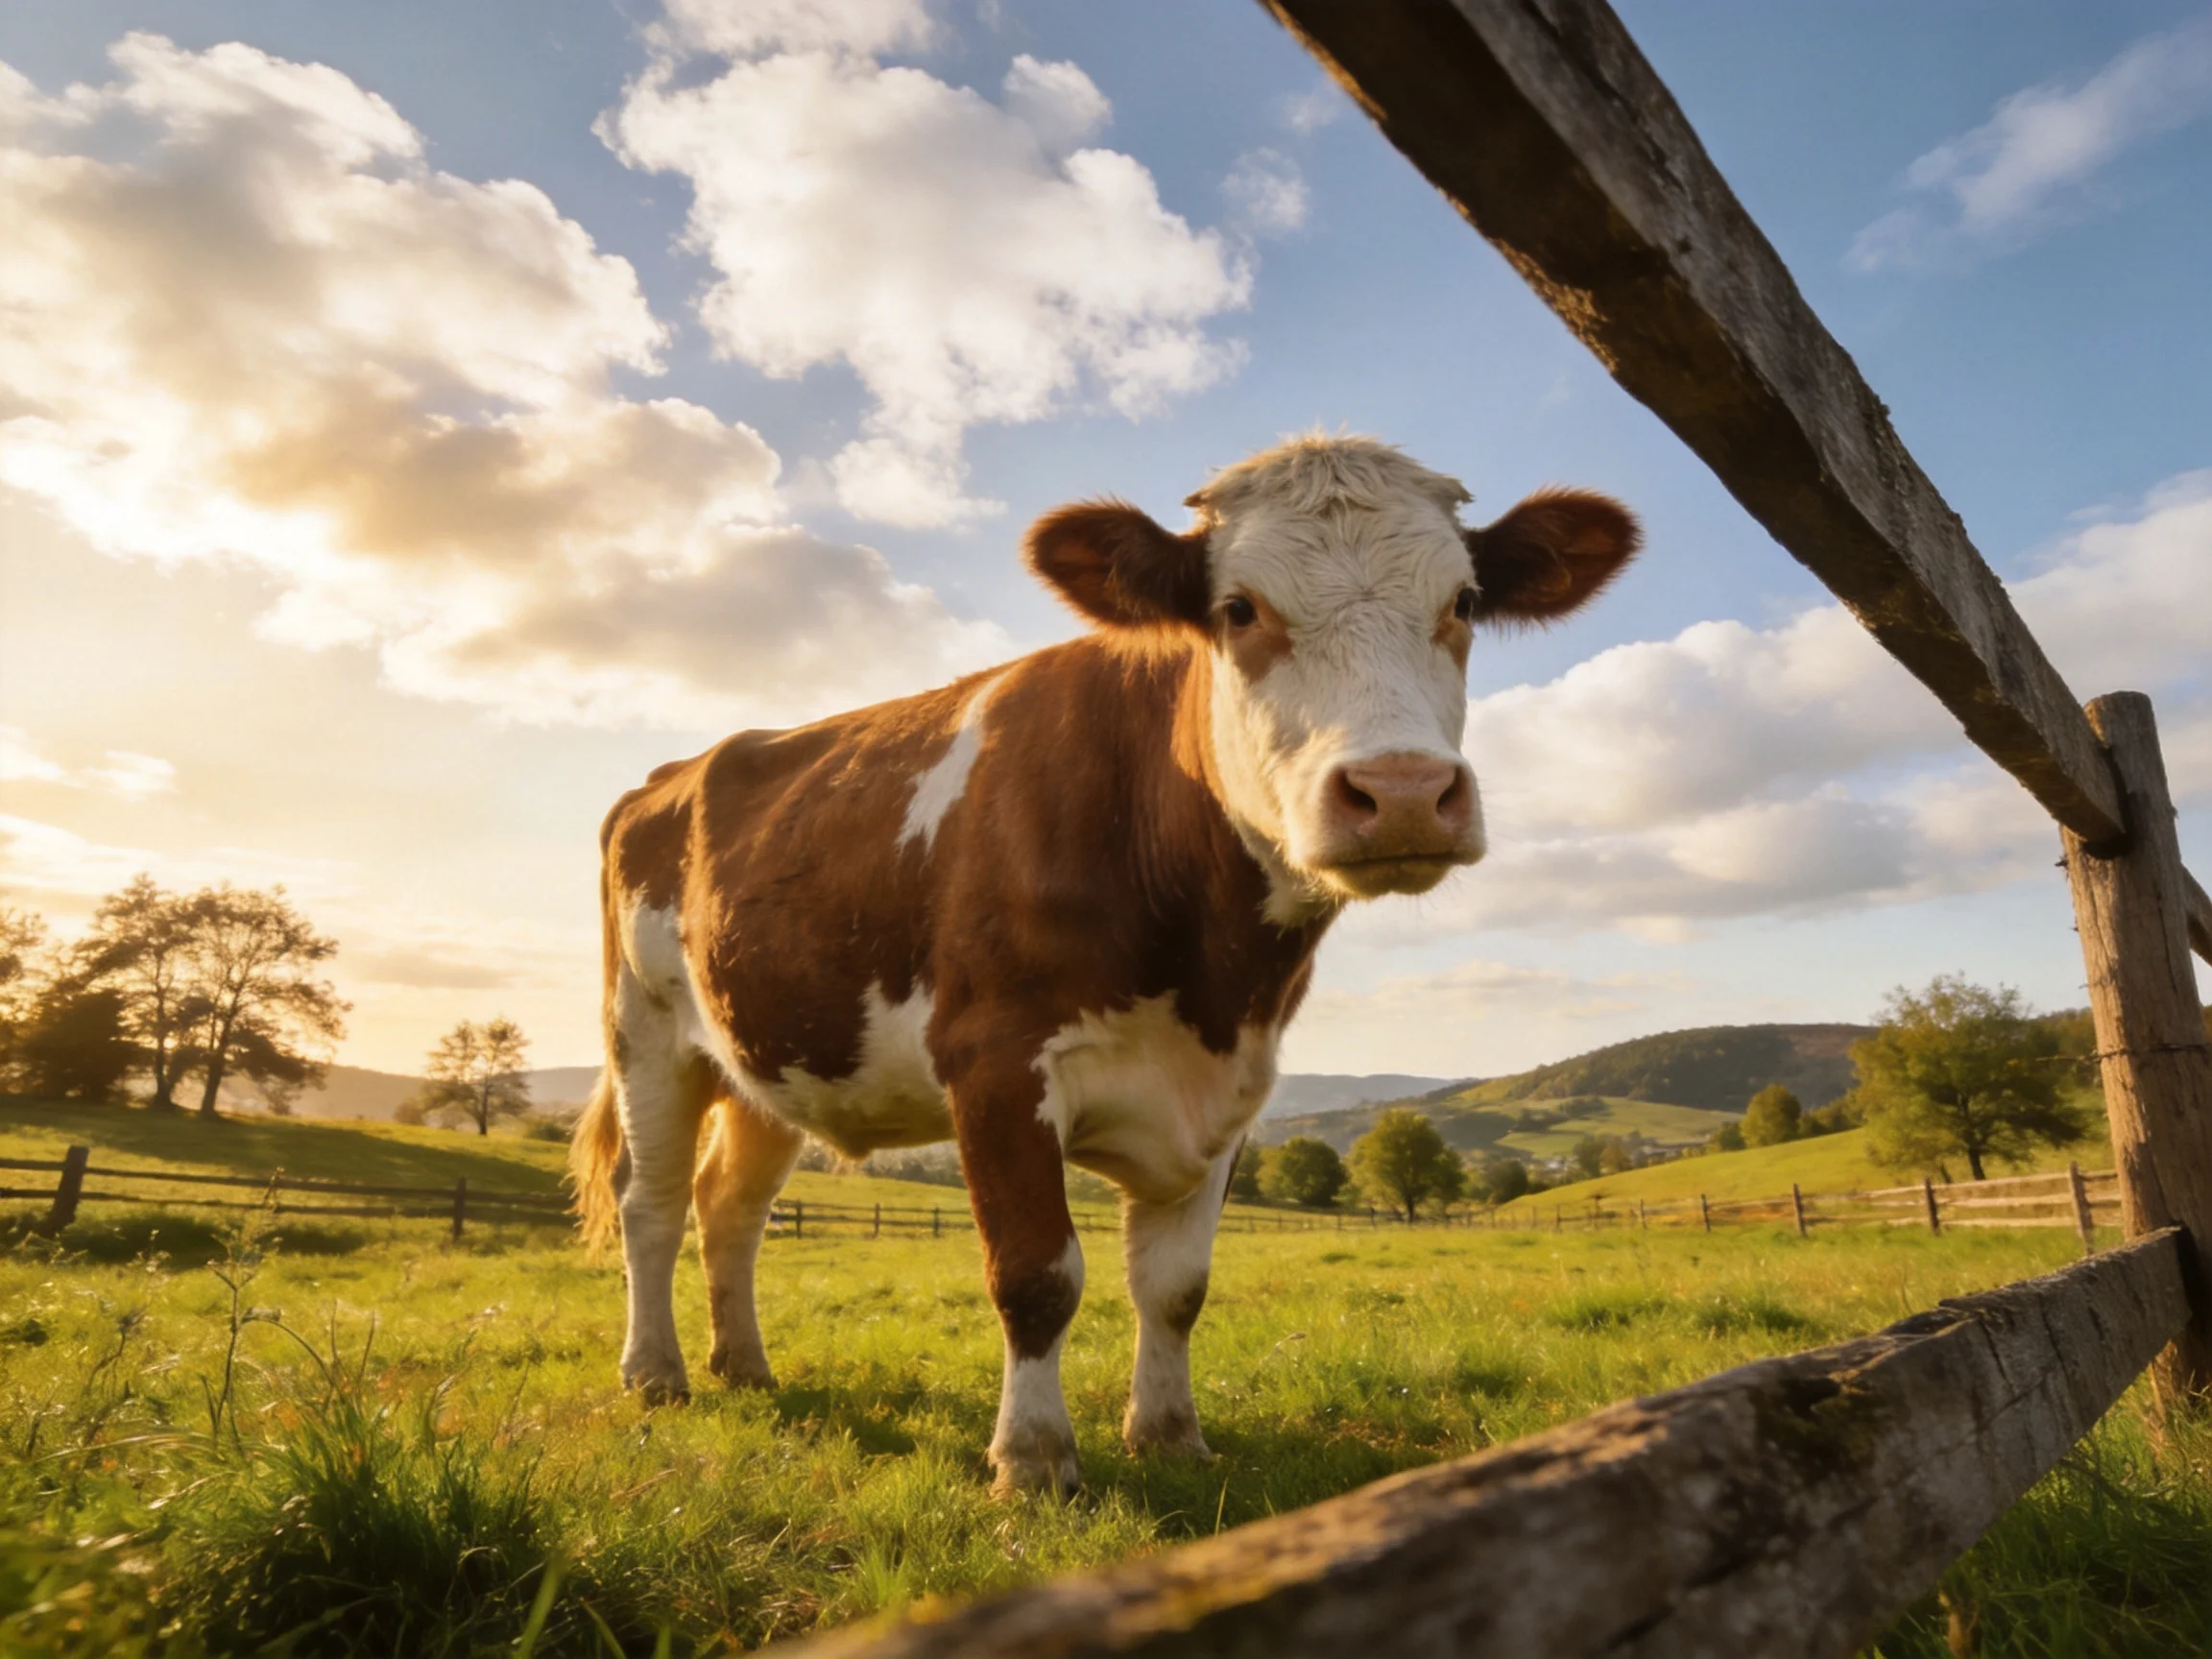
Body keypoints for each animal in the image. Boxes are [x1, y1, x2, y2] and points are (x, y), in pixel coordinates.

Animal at [570, 434, 1637, 1495]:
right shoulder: (996, 1063)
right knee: (651, 1204)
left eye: (1463, 602)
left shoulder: (1229, 1090)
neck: (1210, 972)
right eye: (1238, 609)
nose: (1404, 790)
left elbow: (1175, 1287)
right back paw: (656, 1375)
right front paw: (1034, 1459)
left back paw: (745, 1367)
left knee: (731, 1208)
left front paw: (1168, 1434)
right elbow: (1036, 1275)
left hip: (768, 1059)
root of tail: (670, 775)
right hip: (647, 1036)